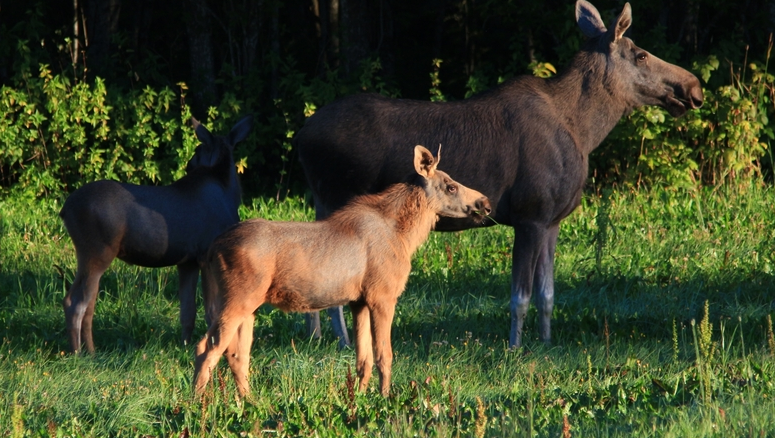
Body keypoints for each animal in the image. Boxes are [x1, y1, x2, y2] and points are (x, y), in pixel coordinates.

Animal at [62, 115, 255, 352]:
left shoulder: (188, 261)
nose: (189, 165)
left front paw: (184, 346)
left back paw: (90, 350)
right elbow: (211, 312)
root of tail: (65, 210)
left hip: (89, 255)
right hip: (98, 251)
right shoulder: (205, 254)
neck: (228, 193)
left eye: (198, 151)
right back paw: (80, 353)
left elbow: (188, 311)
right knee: (77, 303)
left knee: (84, 302)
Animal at [197, 145, 494, 396]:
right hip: (237, 299)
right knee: (208, 349)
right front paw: (385, 398)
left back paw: (248, 402)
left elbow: (363, 359)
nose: (485, 203)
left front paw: (358, 398)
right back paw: (198, 404)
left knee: (234, 354)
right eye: (451, 186)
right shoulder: (383, 296)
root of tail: (211, 250)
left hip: (246, 306)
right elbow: (384, 355)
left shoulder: (358, 301)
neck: (405, 237)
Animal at [296, 0, 704, 350]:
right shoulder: (530, 214)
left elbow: (548, 293)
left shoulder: (552, 221)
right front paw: (515, 346)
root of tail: (302, 135)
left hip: (322, 201)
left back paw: (318, 338)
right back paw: (341, 341)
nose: (694, 87)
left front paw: (546, 342)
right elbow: (519, 296)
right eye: (641, 54)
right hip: (337, 197)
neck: (585, 131)